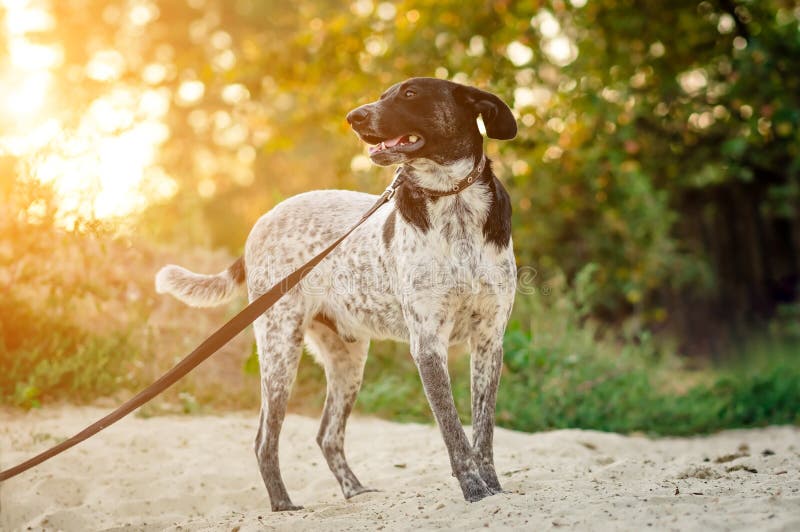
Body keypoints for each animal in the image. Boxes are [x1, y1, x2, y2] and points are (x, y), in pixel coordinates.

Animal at [156, 77, 520, 510]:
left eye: (410, 94)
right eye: (381, 95)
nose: (354, 117)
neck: (453, 199)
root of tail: (260, 224)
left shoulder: (489, 341)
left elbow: (483, 432)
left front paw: (494, 488)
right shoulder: (428, 343)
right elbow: (454, 432)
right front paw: (474, 490)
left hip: (348, 360)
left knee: (327, 435)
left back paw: (356, 492)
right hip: (280, 348)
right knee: (265, 440)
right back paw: (283, 506)